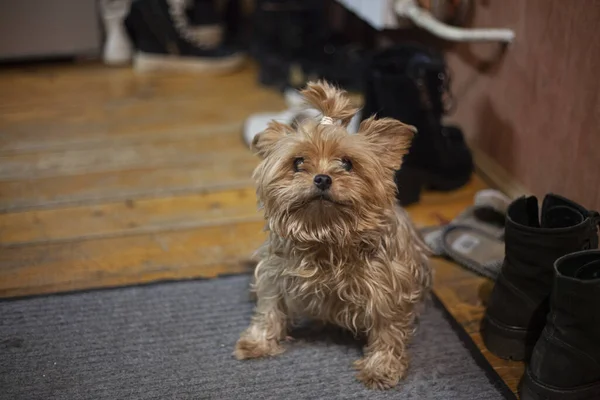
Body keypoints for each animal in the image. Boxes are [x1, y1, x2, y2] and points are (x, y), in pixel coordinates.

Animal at [234, 79, 432, 390]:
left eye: (348, 164)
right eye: (298, 162)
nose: (322, 178)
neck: (326, 234)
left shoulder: (387, 288)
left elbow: (387, 329)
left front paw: (381, 367)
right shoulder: (275, 273)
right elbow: (269, 308)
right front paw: (258, 342)